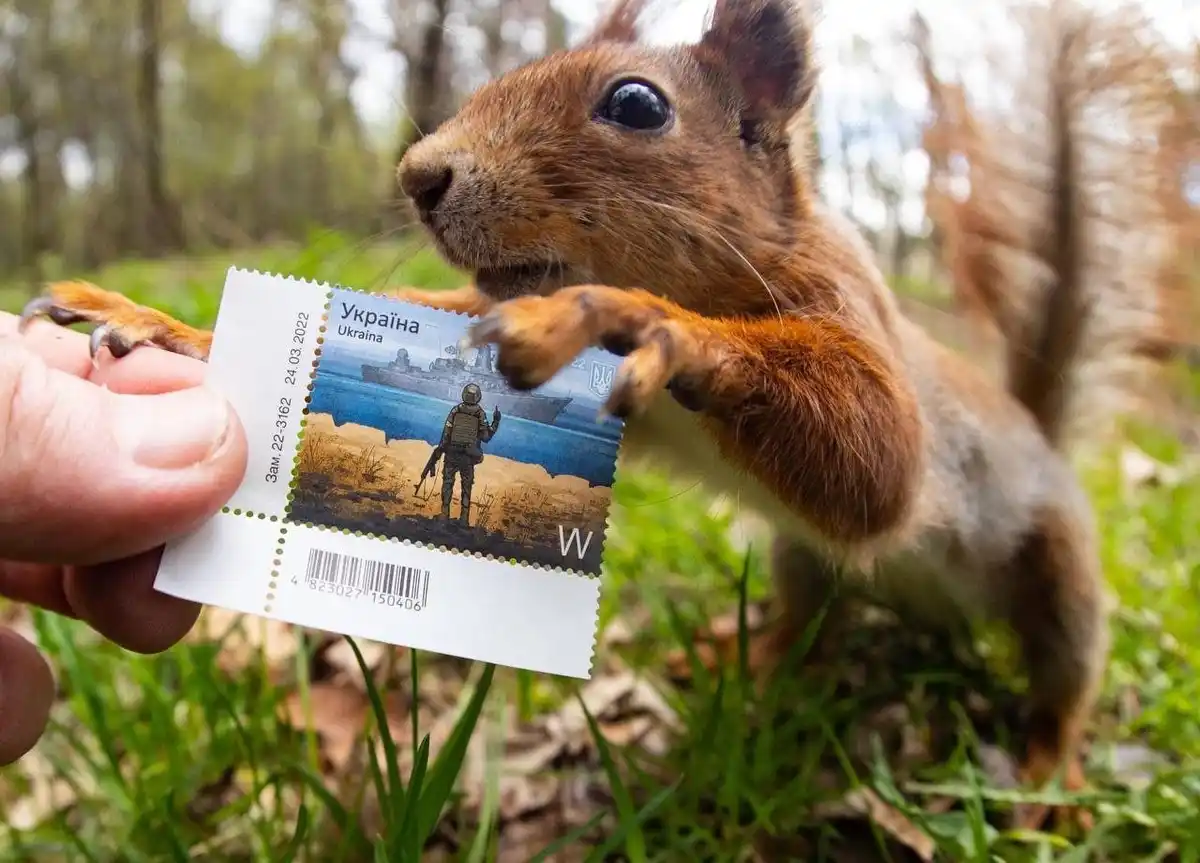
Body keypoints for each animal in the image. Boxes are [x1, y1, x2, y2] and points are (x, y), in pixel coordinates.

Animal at [18, 0, 1174, 833]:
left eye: (636, 105)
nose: (419, 175)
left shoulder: (852, 318)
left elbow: (880, 461)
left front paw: (628, 315)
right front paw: (153, 325)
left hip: (1058, 567)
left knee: (1066, 664)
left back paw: (1045, 769)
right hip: (805, 563)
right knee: (810, 618)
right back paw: (744, 660)